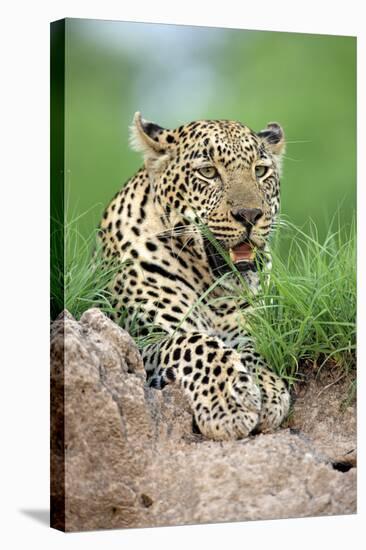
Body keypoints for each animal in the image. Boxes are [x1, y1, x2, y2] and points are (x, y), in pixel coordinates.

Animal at [98, 114, 290, 442]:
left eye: (260, 171)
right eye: (208, 172)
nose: (250, 215)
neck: (216, 292)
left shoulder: (249, 327)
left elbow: (256, 348)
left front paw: (267, 388)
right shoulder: (142, 338)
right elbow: (196, 343)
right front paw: (228, 402)